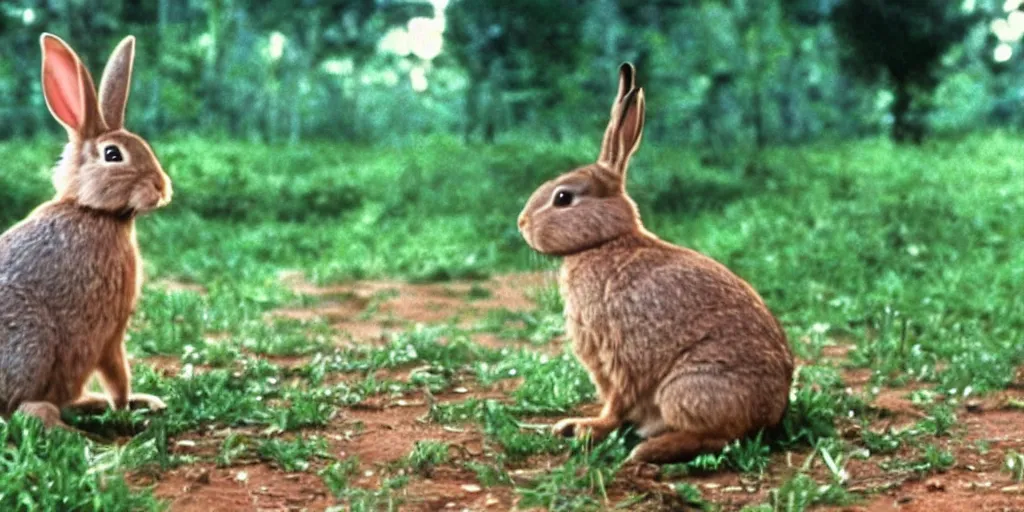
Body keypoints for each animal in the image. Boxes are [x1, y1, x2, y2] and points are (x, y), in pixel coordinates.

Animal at [0, 33, 172, 428]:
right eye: (113, 155)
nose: (162, 188)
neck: (93, 211)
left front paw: (136, 403)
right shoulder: (112, 330)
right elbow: (117, 372)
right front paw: (125, 406)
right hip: (32, 340)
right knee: (20, 412)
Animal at [520, 64, 790, 464]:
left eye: (563, 198)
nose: (521, 224)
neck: (606, 241)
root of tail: (773, 411)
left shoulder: (612, 353)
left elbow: (615, 402)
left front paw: (587, 429)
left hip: (684, 387)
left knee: (720, 437)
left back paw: (649, 449)